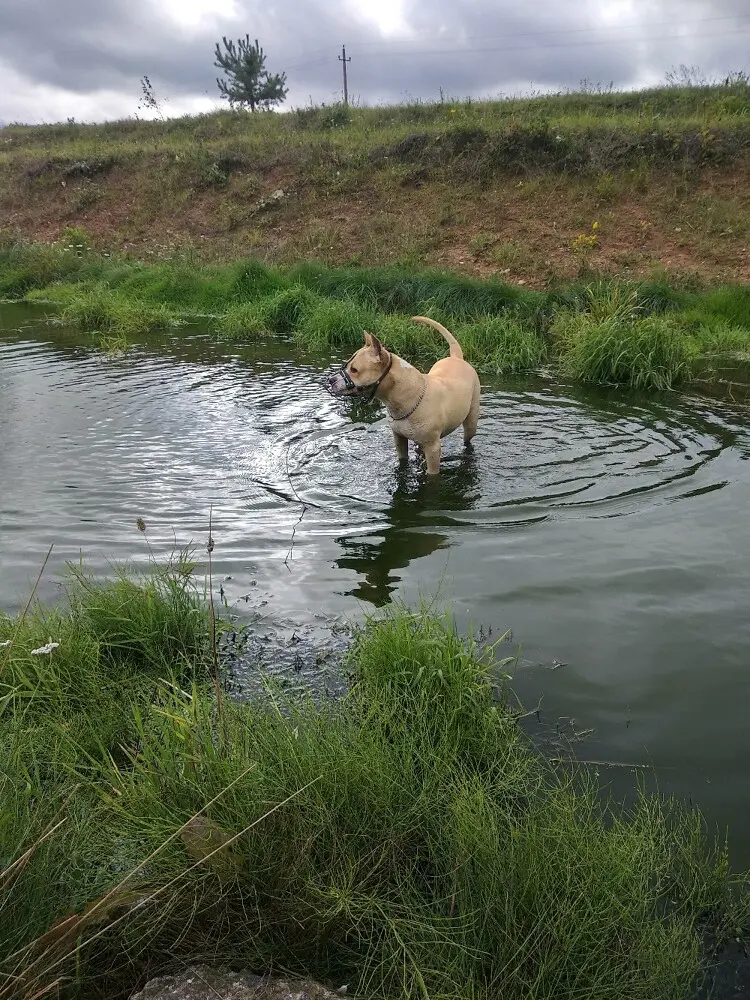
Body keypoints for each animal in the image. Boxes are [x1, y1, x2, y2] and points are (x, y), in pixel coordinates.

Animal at [324, 318, 482, 478]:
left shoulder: (433, 449)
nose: (331, 380)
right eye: (348, 365)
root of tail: (456, 357)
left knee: (468, 437)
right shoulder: (399, 439)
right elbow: (402, 461)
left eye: (354, 370)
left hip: (471, 420)